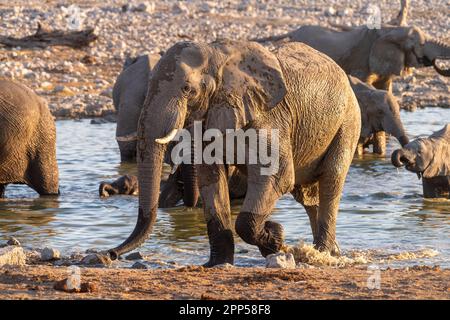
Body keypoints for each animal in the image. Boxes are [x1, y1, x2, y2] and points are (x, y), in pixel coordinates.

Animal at [110, 38, 362, 266]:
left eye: (187, 90)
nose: (111, 253)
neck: (217, 56)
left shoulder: (269, 118)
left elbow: (277, 176)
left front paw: (276, 236)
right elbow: (211, 179)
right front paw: (218, 264)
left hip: (348, 121)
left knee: (331, 180)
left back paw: (323, 254)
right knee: (309, 197)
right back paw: (327, 252)